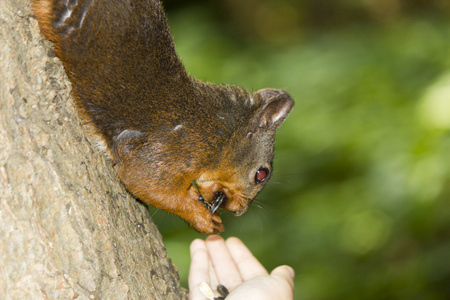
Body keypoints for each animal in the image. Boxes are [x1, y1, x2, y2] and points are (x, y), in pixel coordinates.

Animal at [34, 0, 296, 234]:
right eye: (261, 174)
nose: (240, 211)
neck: (220, 132)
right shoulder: (174, 149)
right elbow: (144, 182)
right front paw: (202, 218)